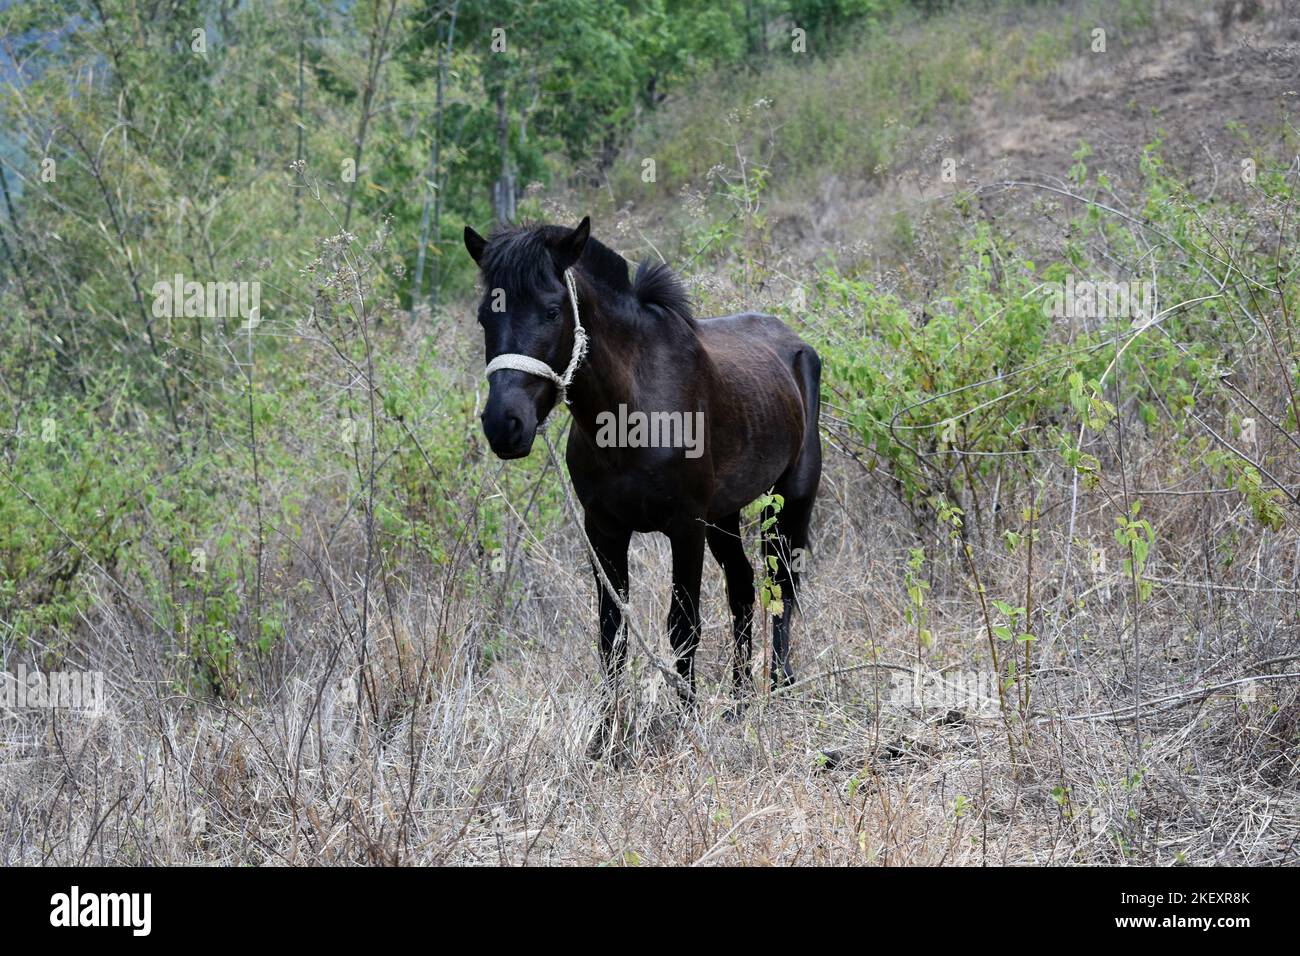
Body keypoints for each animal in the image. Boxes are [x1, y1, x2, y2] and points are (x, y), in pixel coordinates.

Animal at [462, 218, 816, 717]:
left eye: (552, 311)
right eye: (484, 316)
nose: (503, 424)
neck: (631, 413)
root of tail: (795, 343)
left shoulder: (685, 527)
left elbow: (683, 626)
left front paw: (687, 719)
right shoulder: (604, 530)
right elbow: (611, 633)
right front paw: (608, 729)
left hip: (791, 498)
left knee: (781, 586)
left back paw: (780, 686)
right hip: (724, 515)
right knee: (743, 587)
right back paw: (739, 698)